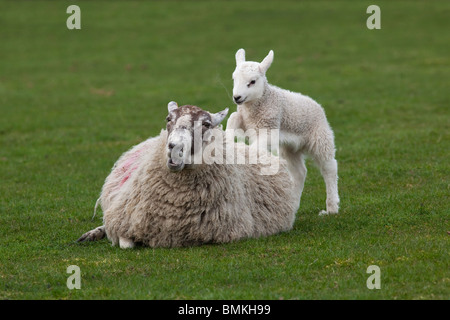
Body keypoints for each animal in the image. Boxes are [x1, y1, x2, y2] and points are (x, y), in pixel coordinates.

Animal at [78, 102, 300, 248]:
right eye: (169, 119)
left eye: (206, 124)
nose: (174, 148)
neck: (175, 202)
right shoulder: (124, 219)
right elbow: (124, 241)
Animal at [227, 48, 340, 215]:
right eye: (234, 78)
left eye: (252, 81)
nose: (237, 97)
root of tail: (317, 105)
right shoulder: (244, 121)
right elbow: (233, 118)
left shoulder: (269, 126)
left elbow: (257, 145)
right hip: (290, 148)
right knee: (300, 172)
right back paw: (293, 204)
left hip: (320, 137)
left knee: (329, 168)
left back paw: (331, 208)